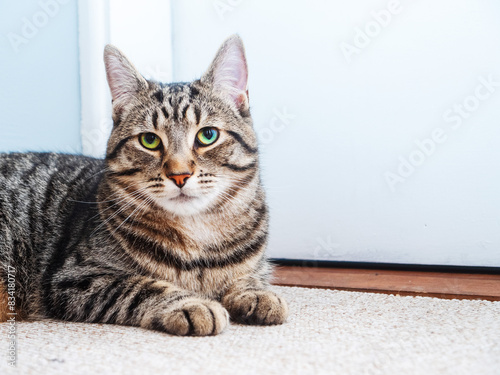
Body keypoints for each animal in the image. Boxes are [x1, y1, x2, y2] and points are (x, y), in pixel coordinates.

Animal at [0, 33, 290, 336]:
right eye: (149, 140)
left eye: (208, 135)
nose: (179, 174)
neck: (197, 241)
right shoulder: (76, 277)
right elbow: (141, 287)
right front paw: (192, 303)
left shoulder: (255, 265)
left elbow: (250, 276)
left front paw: (257, 293)